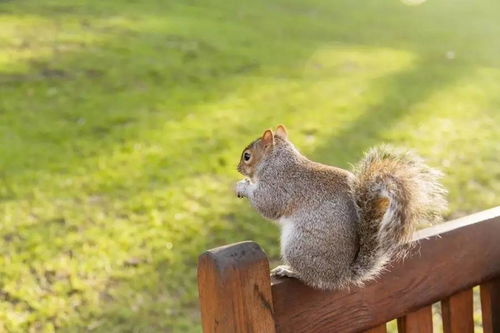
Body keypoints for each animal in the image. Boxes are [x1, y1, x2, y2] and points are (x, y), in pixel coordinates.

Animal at [236, 124, 448, 288]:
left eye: (247, 156)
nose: (237, 168)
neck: (277, 161)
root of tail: (341, 275)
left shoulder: (279, 186)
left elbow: (267, 204)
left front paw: (242, 186)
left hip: (298, 248)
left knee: (314, 279)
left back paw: (289, 270)